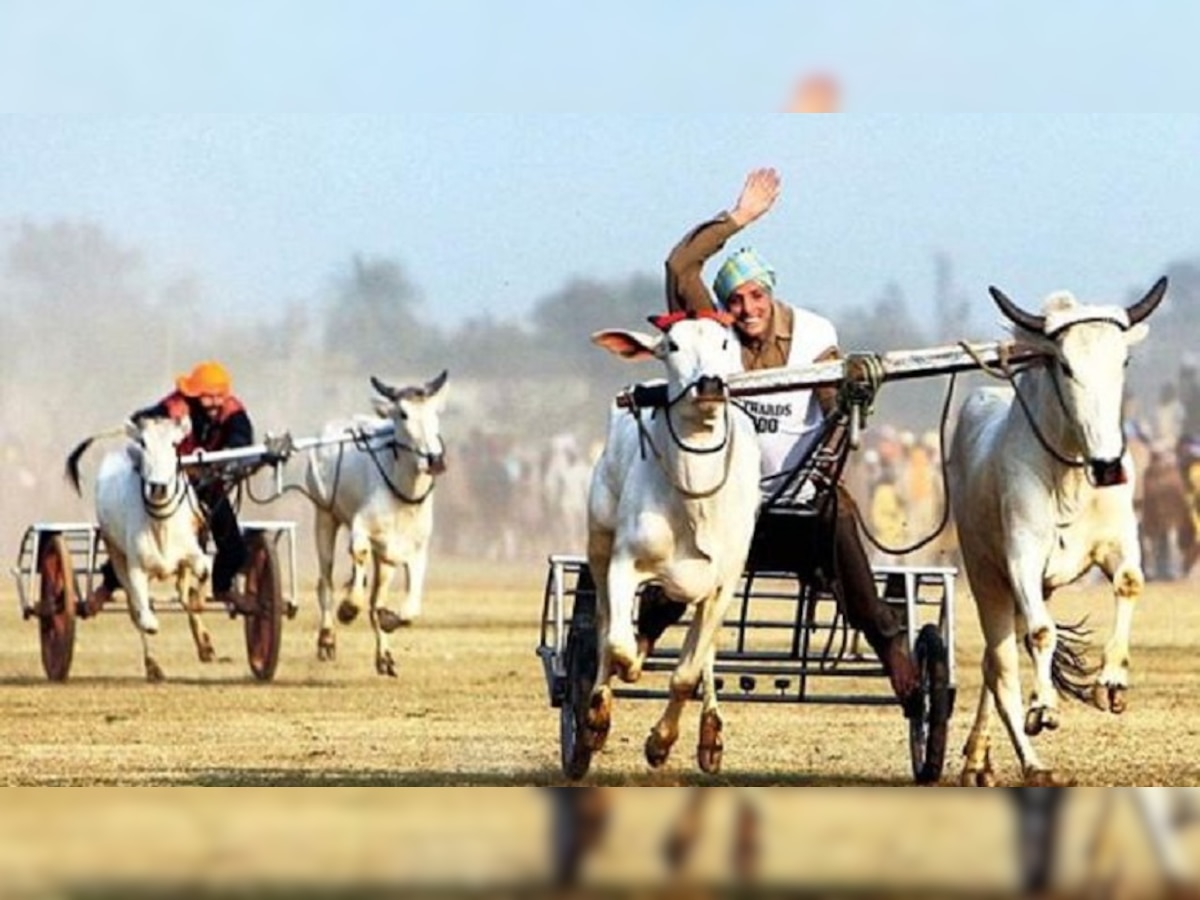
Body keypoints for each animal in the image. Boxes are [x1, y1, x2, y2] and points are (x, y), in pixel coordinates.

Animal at [65, 415, 212, 681]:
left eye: (175, 443)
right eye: (143, 443)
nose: (158, 486)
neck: (160, 524)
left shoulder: (191, 551)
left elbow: (202, 574)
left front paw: (201, 615)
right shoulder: (135, 566)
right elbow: (143, 613)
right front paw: (151, 626)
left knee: (182, 592)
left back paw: (203, 643)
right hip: (116, 552)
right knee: (136, 609)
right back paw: (152, 665)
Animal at [302, 372, 448, 676]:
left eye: (434, 412)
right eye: (402, 413)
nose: (435, 460)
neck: (404, 495)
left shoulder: (415, 551)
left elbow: (406, 608)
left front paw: (388, 622)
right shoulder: (360, 529)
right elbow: (358, 560)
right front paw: (348, 608)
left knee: (376, 597)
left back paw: (384, 656)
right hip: (324, 516)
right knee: (325, 582)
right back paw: (327, 639)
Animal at [580, 312, 758, 777]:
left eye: (725, 343)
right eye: (672, 346)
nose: (710, 383)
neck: (694, 505)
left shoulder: (722, 586)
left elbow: (687, 674)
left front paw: (660, 743)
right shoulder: (624, 562)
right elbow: (618, 644)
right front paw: (605, 706)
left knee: (704, 655)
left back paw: (711, 734)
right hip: (598, 541)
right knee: (605, 624)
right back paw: (596, 715)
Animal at [950, 278, 1166, 787]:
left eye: (1123, 361)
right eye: (1064, 365)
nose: (1108, 466)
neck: (1070, 475)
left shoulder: (1119, 544)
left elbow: (1130, 583)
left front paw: (1113, 681)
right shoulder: (1022, 562)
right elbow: (1042, 634)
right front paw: (1044, 707)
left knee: (990, 663)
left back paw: (977, 759)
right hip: (987, 579)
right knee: (1002, 667)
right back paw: (1031, 762)